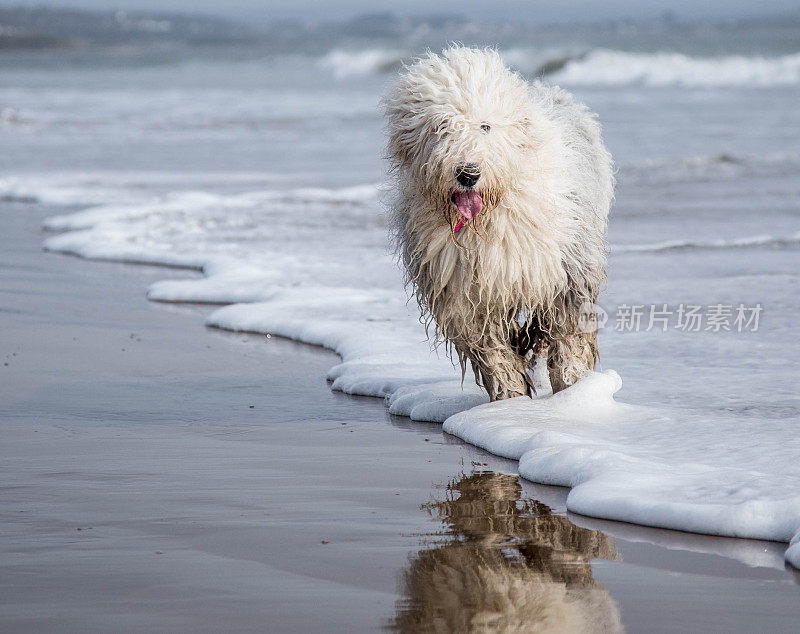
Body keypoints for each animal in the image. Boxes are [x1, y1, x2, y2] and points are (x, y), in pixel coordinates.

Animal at [384, 47, 616, 398]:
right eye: (441, 126)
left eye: (485, 126)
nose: (468, 174)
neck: (489, 216)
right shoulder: (462, 292)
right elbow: (490, 349)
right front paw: (510, 396)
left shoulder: (566, 268)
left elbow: (569, 333)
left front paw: (572, 385)